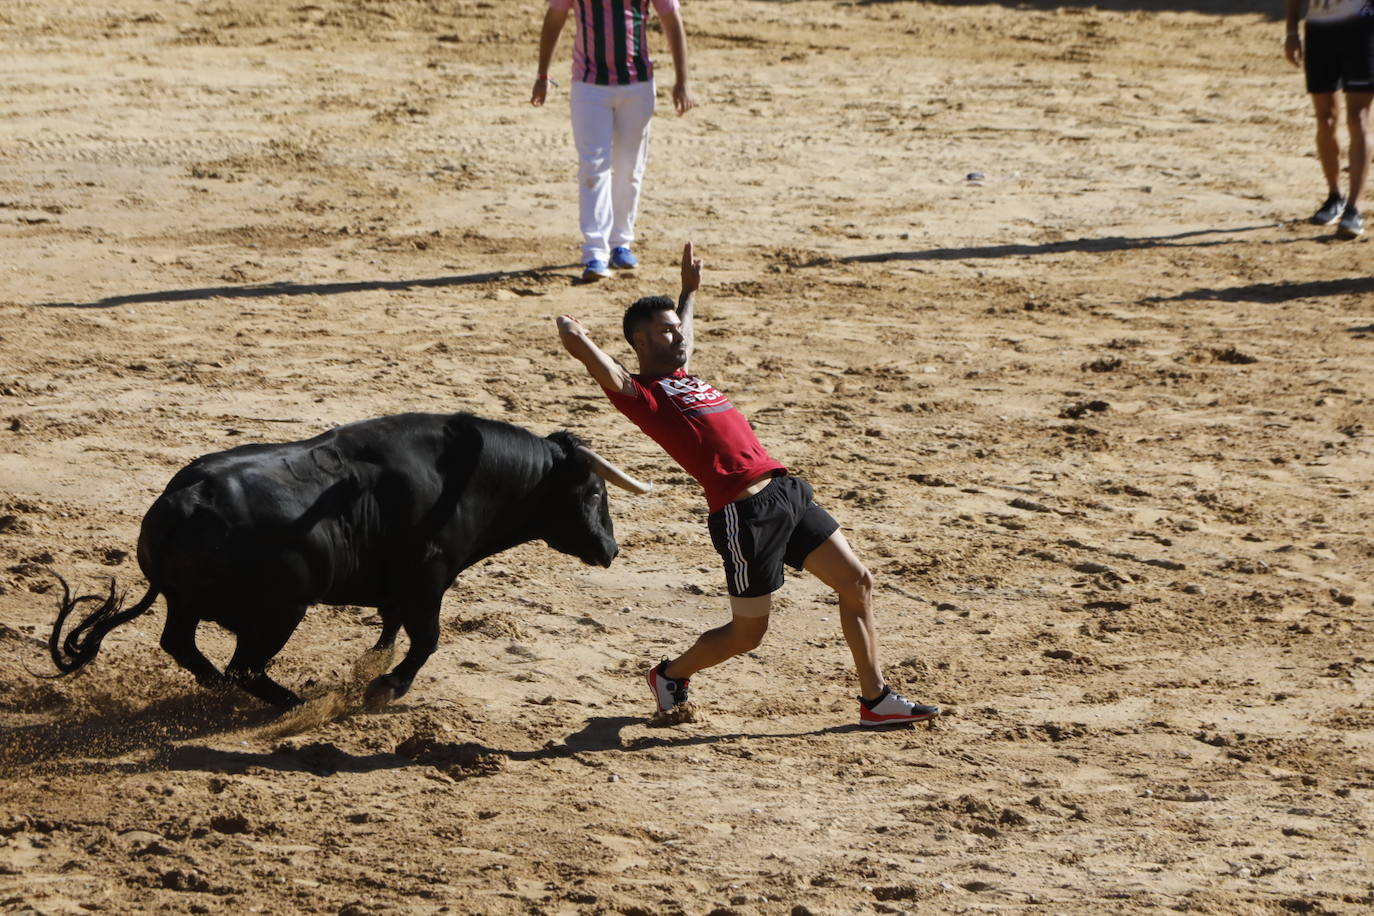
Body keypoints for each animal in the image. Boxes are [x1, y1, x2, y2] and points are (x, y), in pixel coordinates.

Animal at [50, 411, 651, 714]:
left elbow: (389, 627)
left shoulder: (397, 589)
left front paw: (372, 665)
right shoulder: (427, 581)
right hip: (278, 613)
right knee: (244, 666)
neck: (469, 479)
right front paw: (385, 686)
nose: (611, 549)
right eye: (595, 491)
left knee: (184, 646)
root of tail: (183, 501)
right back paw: (293, 704)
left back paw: (226, 693)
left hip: (189, 603)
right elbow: (426, 639)